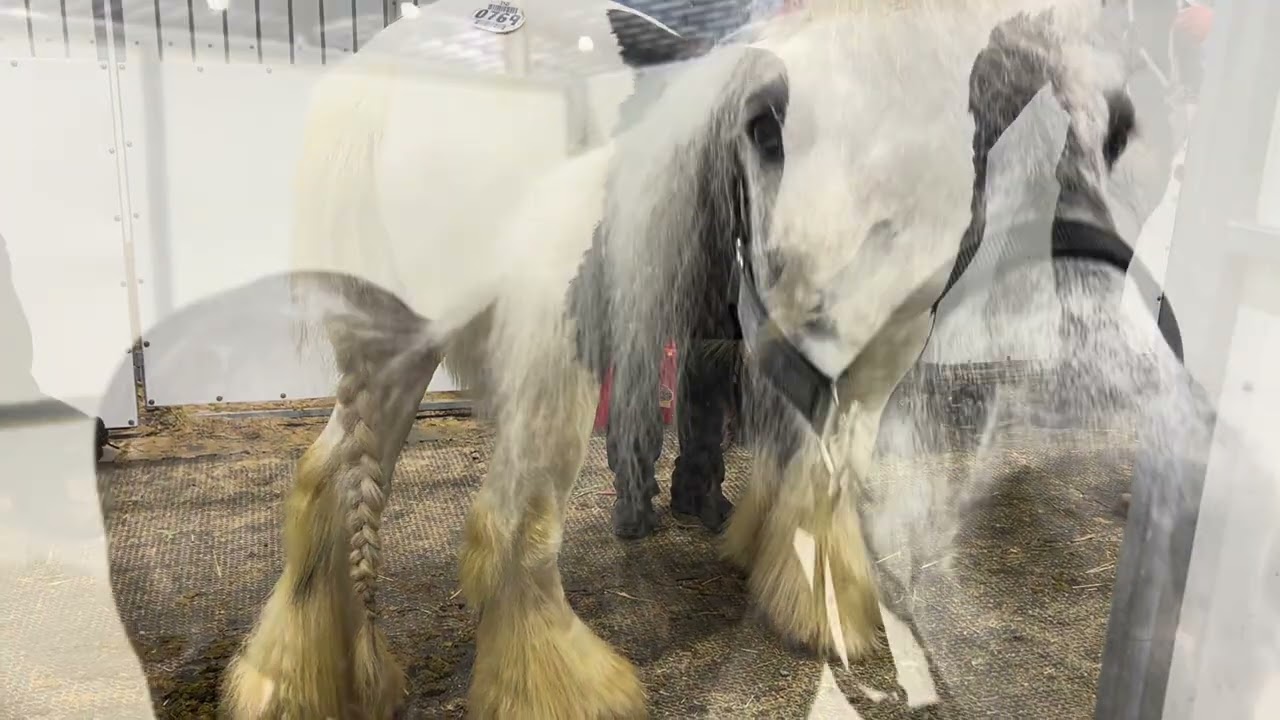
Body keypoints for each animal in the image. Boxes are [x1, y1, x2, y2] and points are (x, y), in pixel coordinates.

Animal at [221, 1, 1164, 717]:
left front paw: (763, 554)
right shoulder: (873, 340)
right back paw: (570, 688)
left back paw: (301, 680)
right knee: (508, 519)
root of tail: (394, 68)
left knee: (331, 480)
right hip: (554, 355)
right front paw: (832, 609)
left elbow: (787, 452)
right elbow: (831, 468)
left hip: (394, 344)